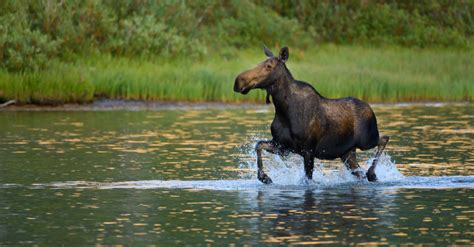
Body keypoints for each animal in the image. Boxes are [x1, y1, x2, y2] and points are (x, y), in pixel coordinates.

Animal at [233, 47, 388, 184]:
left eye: (269, 66)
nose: (238, 81)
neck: (283, 110)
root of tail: (370, 108)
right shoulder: (282, 146)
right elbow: (258, 145)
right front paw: (264, 177)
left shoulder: (308, 150)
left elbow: (308, 179)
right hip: (347, 153)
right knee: (359, 172)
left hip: (367, 140)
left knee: (384, 138)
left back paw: (372, 173)